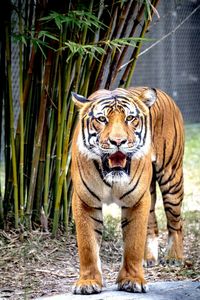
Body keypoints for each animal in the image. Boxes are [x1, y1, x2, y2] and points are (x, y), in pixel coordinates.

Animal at [70, 86, 184, 296]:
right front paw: (88, 282)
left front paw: (132, 281)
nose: (118, 141)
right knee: (152, 223)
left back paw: (174, 258)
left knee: (175, 222)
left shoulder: (136, 200)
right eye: (102, 119)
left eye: (130, 118)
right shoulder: (85, 200)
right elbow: (87, 246)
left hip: (171, 177)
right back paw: (148, 258)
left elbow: (133, 243)